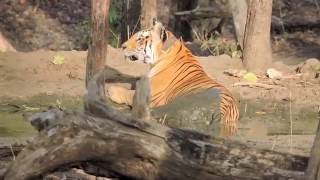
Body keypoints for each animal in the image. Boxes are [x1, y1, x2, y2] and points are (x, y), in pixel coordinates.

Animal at [109, 21, 239, 136]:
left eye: (140, 39)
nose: (122, 46)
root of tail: (222, 111)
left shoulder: (152, 97)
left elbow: (129, 93)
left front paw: (111, 90)